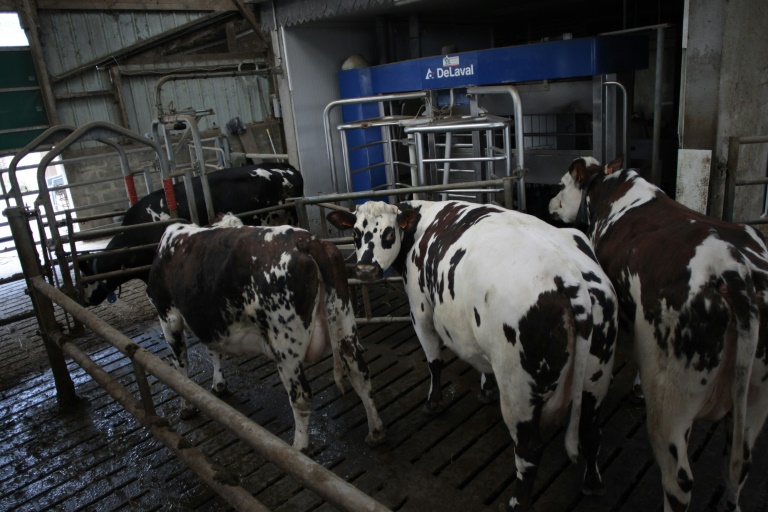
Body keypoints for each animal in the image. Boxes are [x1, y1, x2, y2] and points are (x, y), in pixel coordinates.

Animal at [328, 202, 620, 510]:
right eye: (355, 233)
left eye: (388, 233)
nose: (365, 269)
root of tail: (570, 278)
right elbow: (481, 363)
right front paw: (486, 388)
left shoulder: (420, 310)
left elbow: (434, 361)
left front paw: (433, 403)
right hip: (596, 376)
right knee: (591, 430)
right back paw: (592, 483)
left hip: (518, 389)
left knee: (529, 449)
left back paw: (517, 501)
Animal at [548, 155, 764, 512]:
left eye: (562, 184)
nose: (550, 203)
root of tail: (734, 271)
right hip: (755, 398)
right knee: (739, 466)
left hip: (670, 399)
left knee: (679, 481)